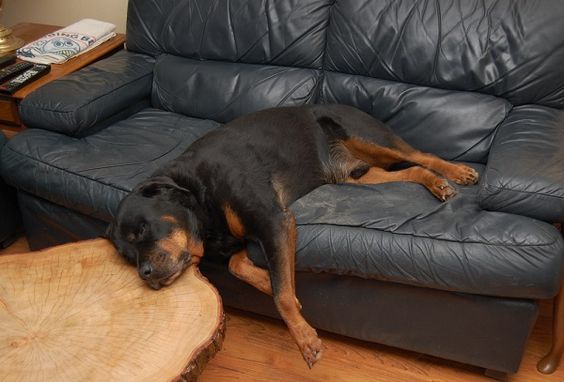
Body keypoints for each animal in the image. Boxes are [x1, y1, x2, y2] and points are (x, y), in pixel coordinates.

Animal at [106, 103, 476, 368]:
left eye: (142, 229)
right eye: (127, 255)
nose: (145, 274)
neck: (199, 195)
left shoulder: (274, 220)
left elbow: (281, 295)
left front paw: (305, 339)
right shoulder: (244, 238)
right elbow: (244, 269)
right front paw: (270, 282)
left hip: (366, 135)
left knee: (421, 155)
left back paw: (457, 173)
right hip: (356, 177)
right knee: (411, 171)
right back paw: (437, 184)